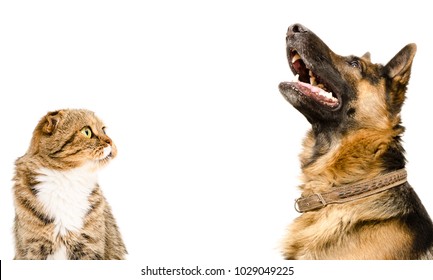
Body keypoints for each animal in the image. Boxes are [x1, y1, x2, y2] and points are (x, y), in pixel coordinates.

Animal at [12, 109, 126, 260]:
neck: (68, 181)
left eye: (104, 130)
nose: (111, 141)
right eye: (87, 132)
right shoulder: (33, 247)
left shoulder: (89, 247)